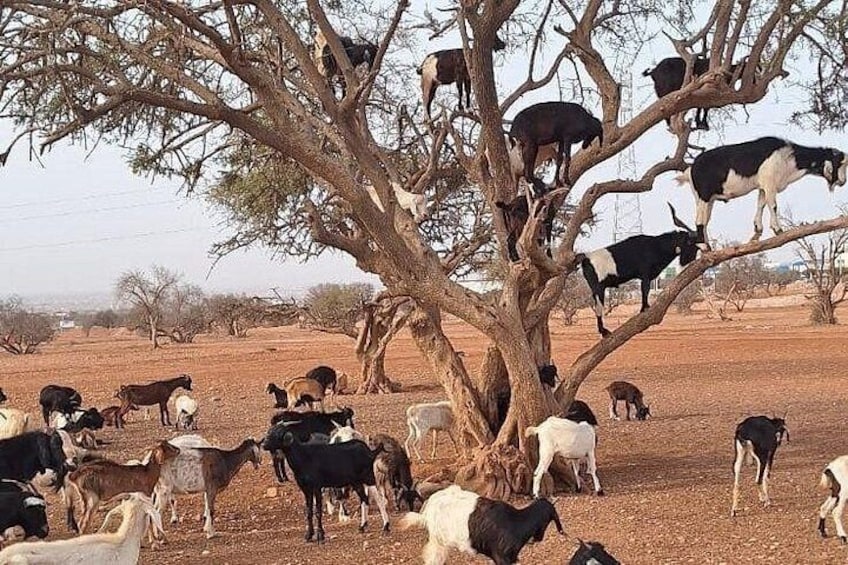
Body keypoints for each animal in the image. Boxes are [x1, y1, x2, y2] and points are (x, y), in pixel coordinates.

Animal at [400, 484, 564, 565]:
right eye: (549, 519)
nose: (539, 538)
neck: (516, 522)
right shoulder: (501, 558)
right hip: (437, 541)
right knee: (432, 558)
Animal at [578, 203, 698, 336]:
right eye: (690, 243)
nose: (690, 259)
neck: (655, 245)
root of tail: (586, 260)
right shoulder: (645, 274)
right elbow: (645, 290)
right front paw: (644, 308)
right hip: (598, 287)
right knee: (599, 307)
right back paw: (604, 331)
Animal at [676, 137, 847, 248]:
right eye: (839, 163)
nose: (843, 182)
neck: (789, 157)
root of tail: (691, 168)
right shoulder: (770, 183)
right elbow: (773, 205)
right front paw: (778, 230)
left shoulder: (763, 186)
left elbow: (761, 204)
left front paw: (757, 230)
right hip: (704, 196)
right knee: (699, 220)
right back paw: (705, 247)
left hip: (706, 199)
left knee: (705, 220)